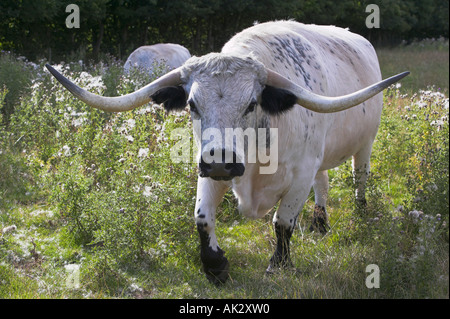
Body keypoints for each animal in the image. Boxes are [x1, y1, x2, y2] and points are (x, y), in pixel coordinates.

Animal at [45, 20, 408, 284]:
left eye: (251, 104)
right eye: (192, 104)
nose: (221, 160)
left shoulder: (300, 172)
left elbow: (283, 222)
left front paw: (278, 265)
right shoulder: (210, 171)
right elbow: (202, 218)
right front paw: (215, 267)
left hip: (366, 144)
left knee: (359, 178)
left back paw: (360, 214)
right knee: (325, 182)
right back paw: (320, 223)